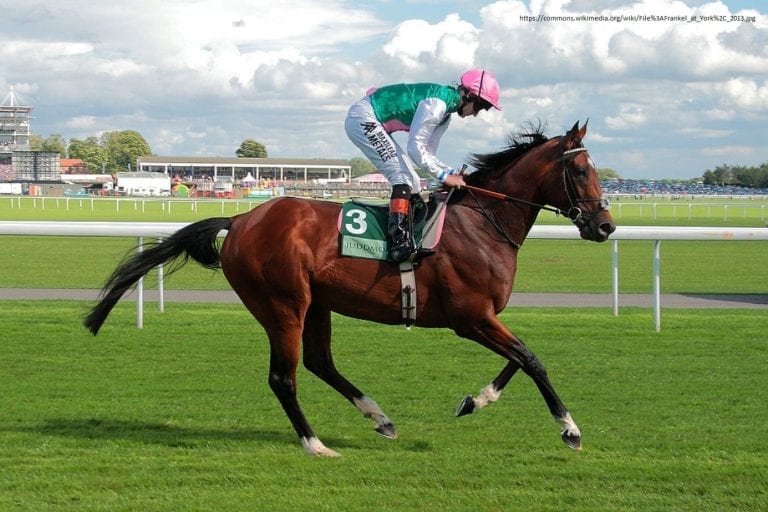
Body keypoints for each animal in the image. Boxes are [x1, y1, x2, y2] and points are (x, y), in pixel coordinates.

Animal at [84, 120, 615, 457]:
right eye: (581, 170)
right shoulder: (470, 318)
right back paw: (315, 444)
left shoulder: (482, 317)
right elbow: (532, 359)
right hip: (283, 303)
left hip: (316, 303)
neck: (483, 223)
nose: (606, 226)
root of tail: (240, 219)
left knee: (319, 363)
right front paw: (570, 430)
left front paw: (473, 401)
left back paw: (379, 418)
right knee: (283, 377)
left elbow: (520, 358)